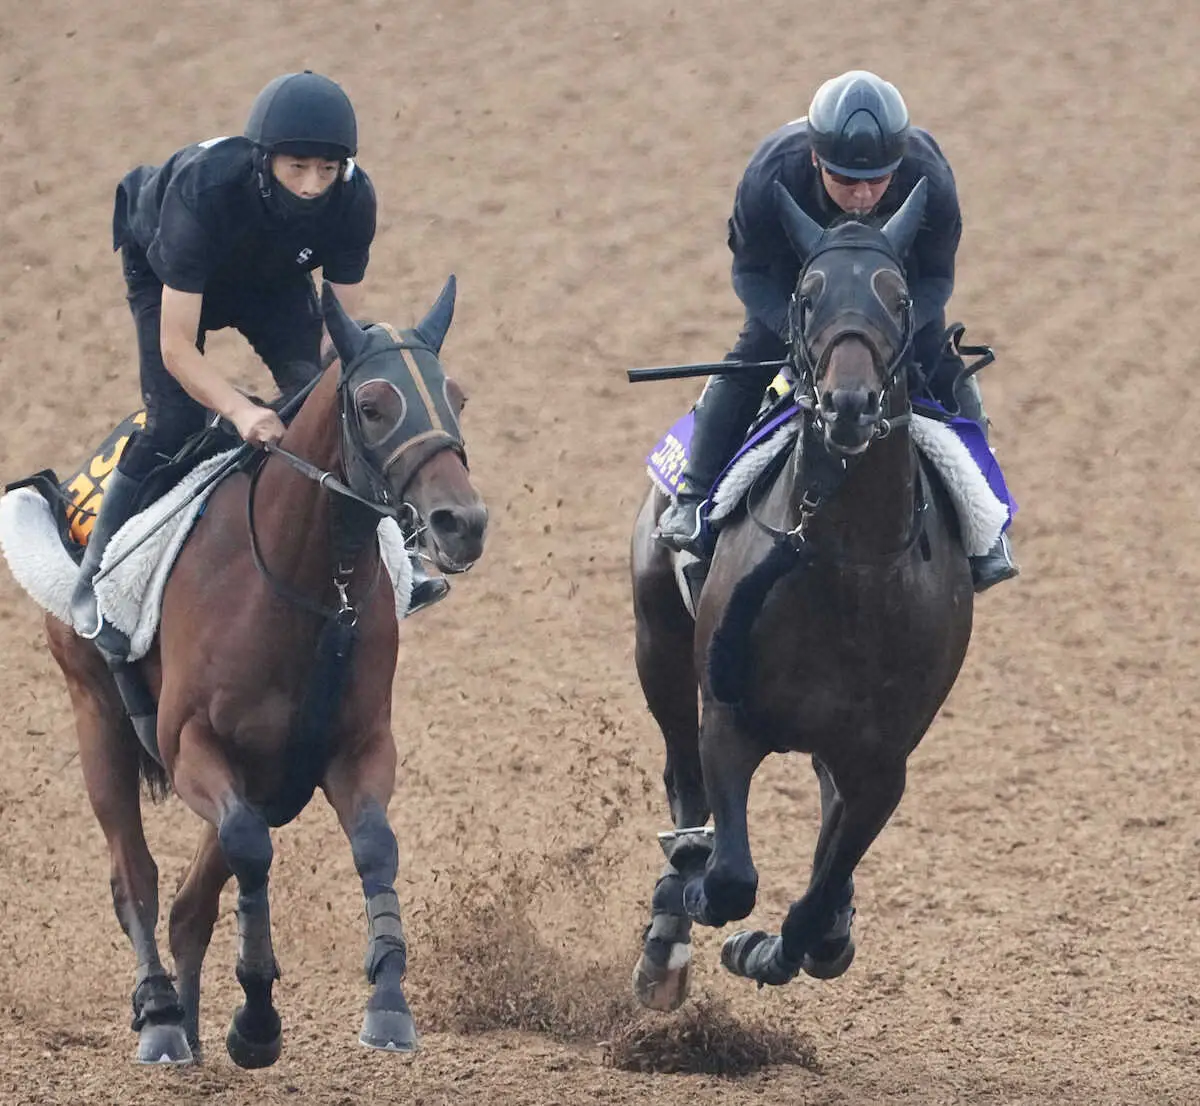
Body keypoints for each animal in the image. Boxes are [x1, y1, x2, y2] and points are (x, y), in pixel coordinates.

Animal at [43, 280, 487, 1065]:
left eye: (455, 397)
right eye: (373, 405)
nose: (462, 523)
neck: (308, 583)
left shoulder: (353, 748)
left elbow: (375, 847)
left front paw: (388, 1004)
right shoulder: (191, 744)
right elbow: (249, 850)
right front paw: (255, 1017)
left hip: (265, 777)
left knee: (190, 902)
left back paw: (187, 1024)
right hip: (96, 713)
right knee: (136, 876)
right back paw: (162, 1017)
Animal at [628, 178, 974, 1007]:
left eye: (898, 298)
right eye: (808, 295)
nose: (849, 404)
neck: (849, 565)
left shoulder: (882, 764)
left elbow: (816, 897)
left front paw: (776, 948)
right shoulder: (728, 716)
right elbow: (729, 876)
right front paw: (694, 894)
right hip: (657, 637)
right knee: (683, 779)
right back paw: (670, 920)